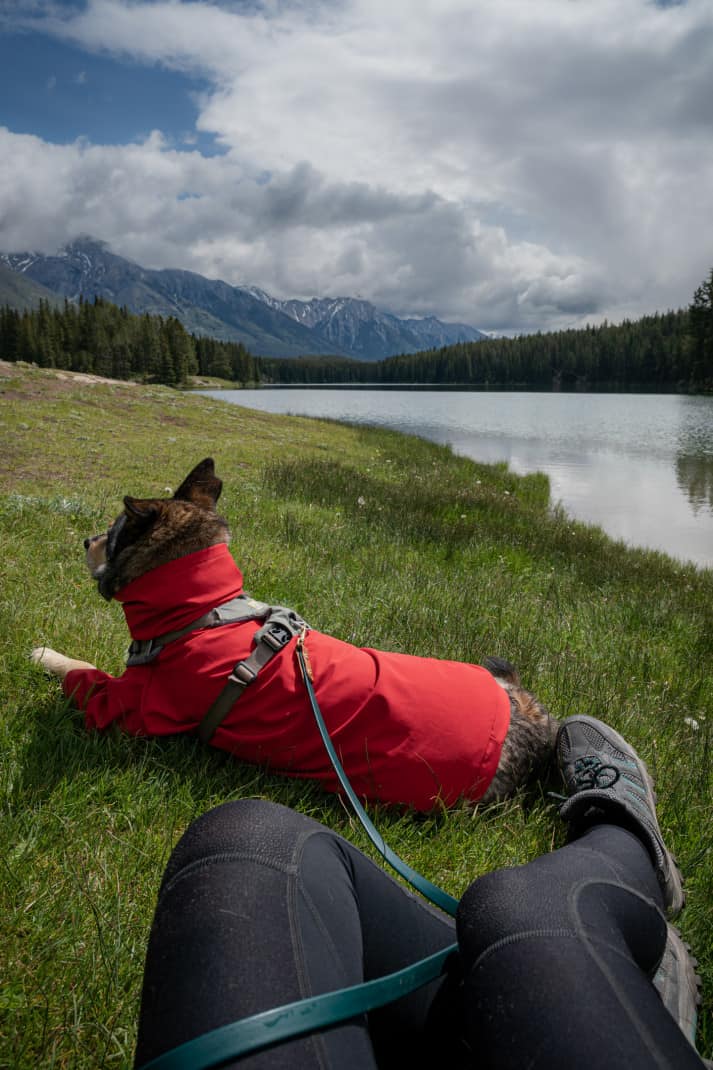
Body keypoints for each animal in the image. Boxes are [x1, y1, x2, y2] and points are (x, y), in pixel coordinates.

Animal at [31, 453, 556, 808]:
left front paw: (43, 655)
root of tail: (535, 720)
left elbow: (81, 671)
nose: (85, 539)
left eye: (112, 532)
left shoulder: (130, 710)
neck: (203, 611)